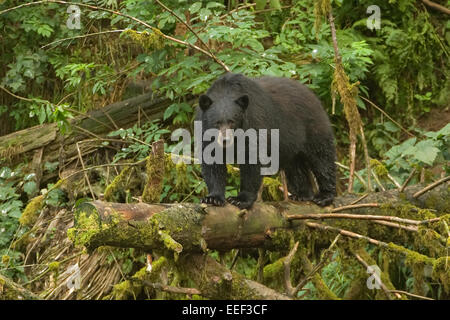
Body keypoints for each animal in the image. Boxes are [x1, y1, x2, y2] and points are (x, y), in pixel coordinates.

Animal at [195, 74, 336, 211]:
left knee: (322, 159)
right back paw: (302, 194)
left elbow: (252, 161)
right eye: (217, 122)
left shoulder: (254, 124)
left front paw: (241, 199)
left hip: (312, 128)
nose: (225, 140)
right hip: (290, 144)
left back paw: (324, 196)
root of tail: (313, 95)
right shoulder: (205, 133)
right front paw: (213, 198)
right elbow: (212, 162)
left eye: (232, 121)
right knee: (295, 167)